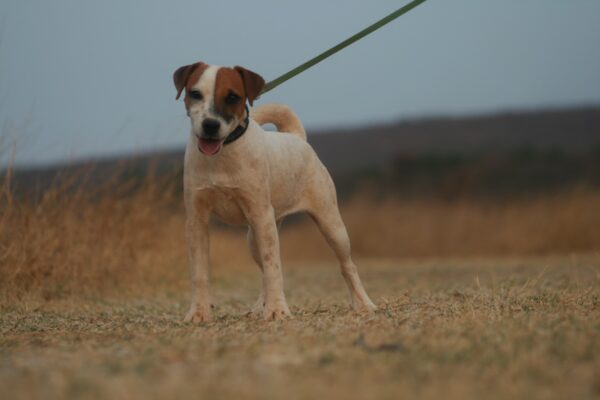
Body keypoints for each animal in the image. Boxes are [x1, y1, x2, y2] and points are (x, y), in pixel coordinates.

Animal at [172, 61, 376, 322]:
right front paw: (198, 313)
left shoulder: (261, 215)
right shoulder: (196, 221)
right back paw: (260, 307)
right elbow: (199, 273)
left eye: (232, 96)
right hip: (253, 239)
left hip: (331, 226)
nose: (210, 125)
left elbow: (273, 268)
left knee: (347, 266)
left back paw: (364, 304)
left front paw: (278, 310)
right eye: (195, 93)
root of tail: (296, 137)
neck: (223, 155)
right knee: (262, 272)